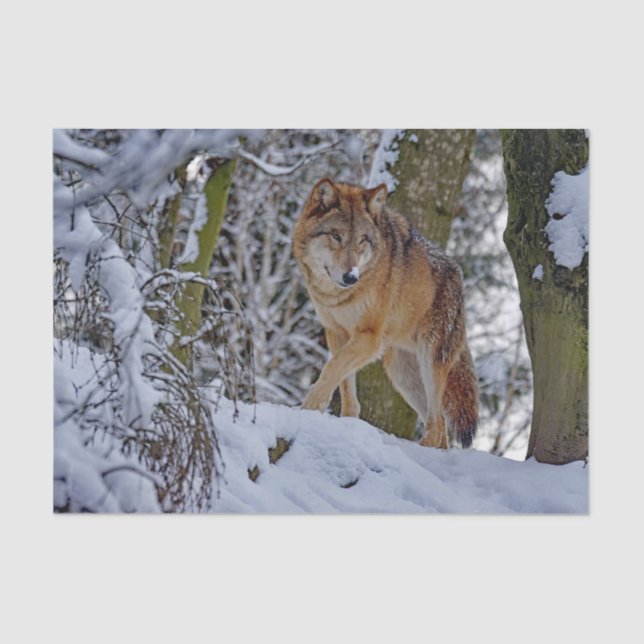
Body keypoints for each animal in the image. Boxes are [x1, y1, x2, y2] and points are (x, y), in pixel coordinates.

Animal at [292, 178, 478, 448]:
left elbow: (331, 369)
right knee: (441, 427)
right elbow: (344, 383)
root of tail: (459, 276)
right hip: (403, 375)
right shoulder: (336, 333)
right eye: (336, 236)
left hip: (430, 360)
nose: (351, 277)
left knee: (436, 424)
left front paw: (309, 408)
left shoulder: (369, 338)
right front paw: (347, 422)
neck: (338, 296)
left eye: (362, 240)